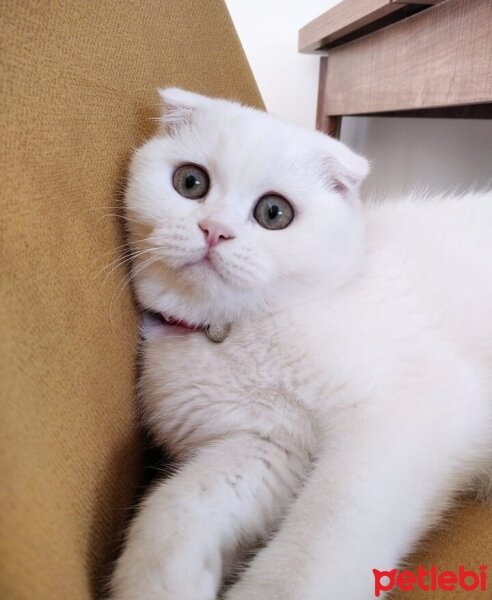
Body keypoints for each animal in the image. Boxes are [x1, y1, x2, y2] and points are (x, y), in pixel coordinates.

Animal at [110, 89, 492, 600]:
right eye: (190, 182)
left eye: (274, 213)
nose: (214, 230)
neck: (232, 331)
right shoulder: (268, 443)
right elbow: (179, 504)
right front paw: (159, 580)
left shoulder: (407, 417)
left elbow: (321, 540)